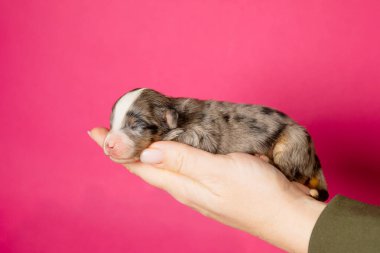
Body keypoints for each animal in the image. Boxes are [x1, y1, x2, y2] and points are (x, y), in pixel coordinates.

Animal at [104, 88, 330, 201]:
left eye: (137, 125)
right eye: (111, 123)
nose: (108, 145)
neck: (179, 114)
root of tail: (315, 159)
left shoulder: (204, 135)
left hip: (292, 141)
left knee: (290, 172)